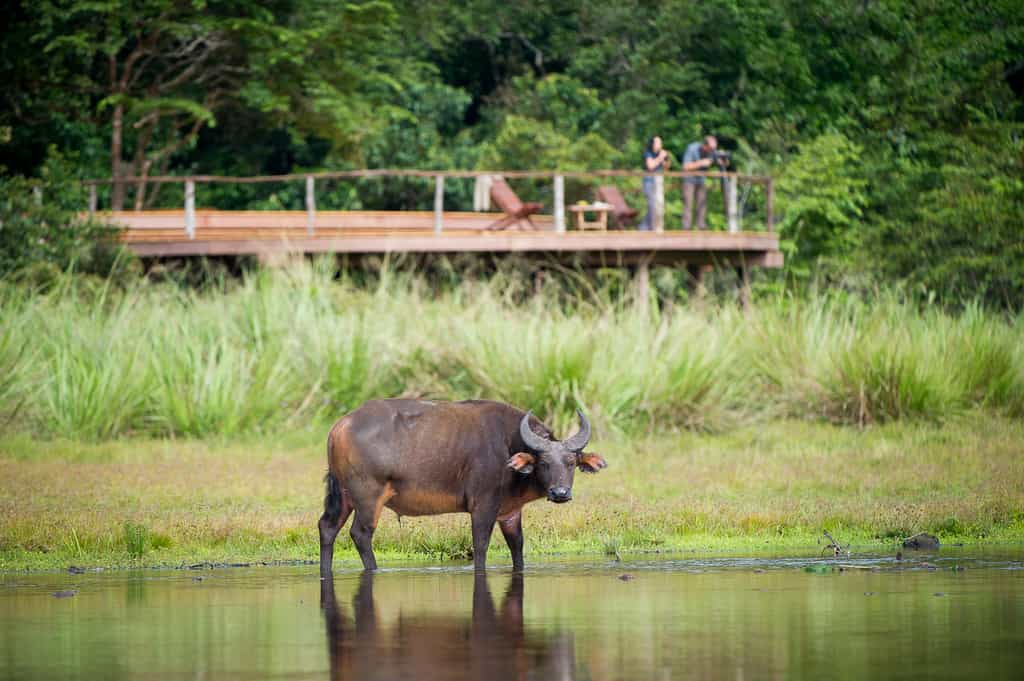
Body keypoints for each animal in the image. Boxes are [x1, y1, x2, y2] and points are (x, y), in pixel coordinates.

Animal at [318, 399, 607, 574]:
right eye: (544, 462)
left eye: (571, 462)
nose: (560, 493)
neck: (508, 445)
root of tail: (340, 426)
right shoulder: (483, 506)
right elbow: (480, 545)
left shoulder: (510, 513)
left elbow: (517, 546)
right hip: (368, 498)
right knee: (360, 534)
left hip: (343, 497)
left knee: (327, 528)